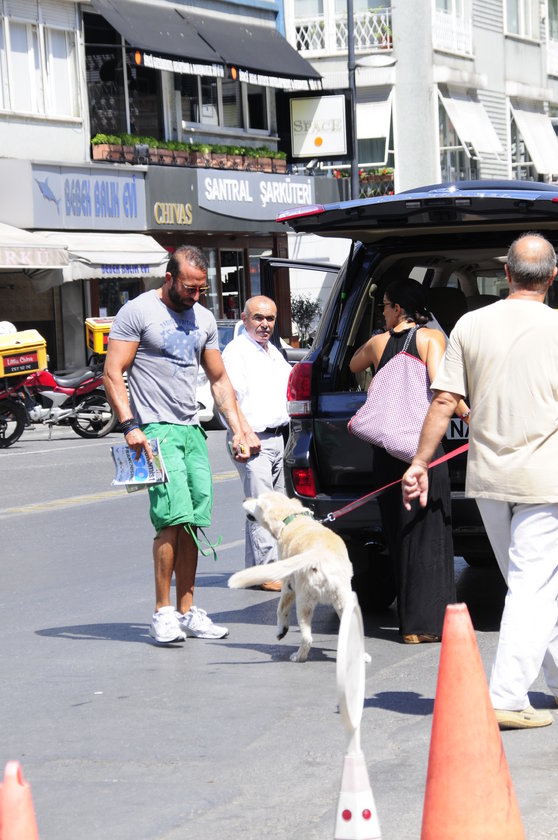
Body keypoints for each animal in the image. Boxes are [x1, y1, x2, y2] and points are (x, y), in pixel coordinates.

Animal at [228, 492, 370, 663]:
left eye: (258, 501)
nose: (245, 499)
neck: (291, 518)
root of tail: (319, 554)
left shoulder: (288, 585)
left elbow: (280, 609)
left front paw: (281, 631)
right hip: (343, 599)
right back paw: (362, 656)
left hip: (304, 602)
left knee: (307, 638)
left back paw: (299, 656)